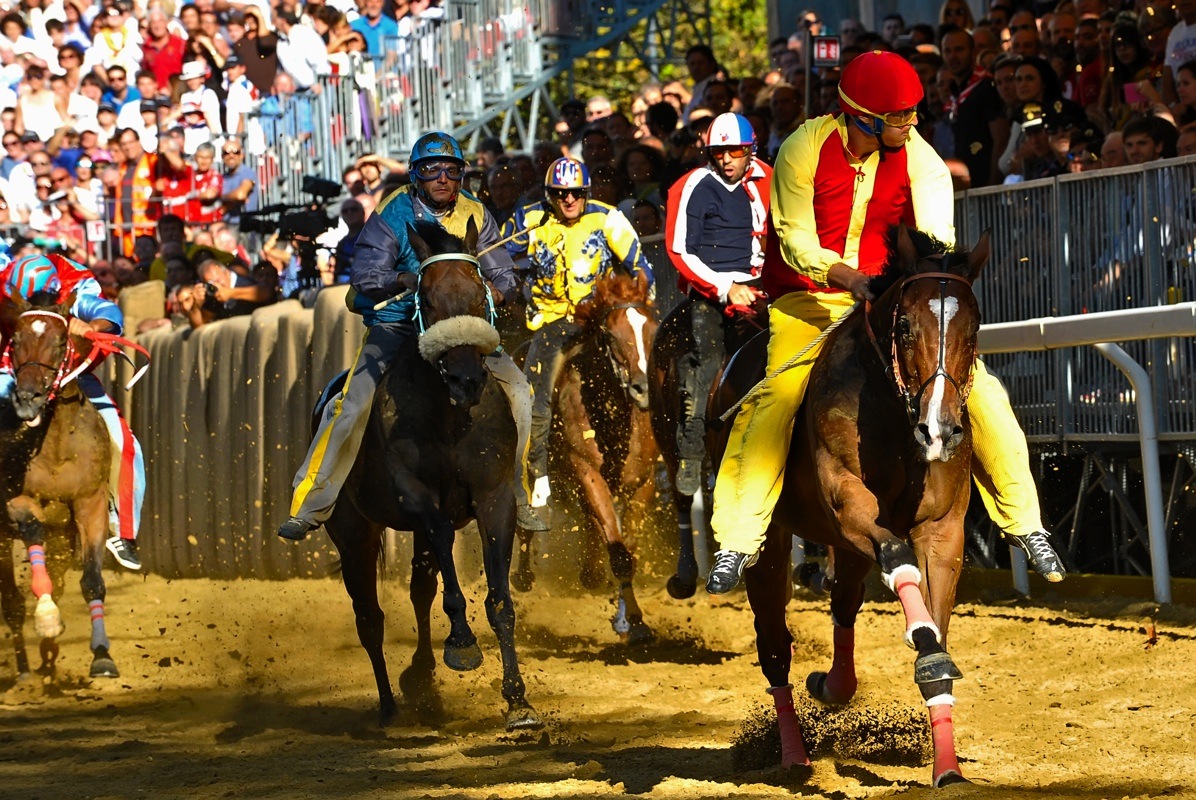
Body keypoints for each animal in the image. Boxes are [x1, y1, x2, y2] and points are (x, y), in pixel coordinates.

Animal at [0, 292, 119, 679]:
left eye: (61, 341)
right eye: (15, 340)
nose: (28, 398)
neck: (55, 445)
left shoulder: (90, 502)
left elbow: (92, 580)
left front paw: (102, 656)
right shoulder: (15, 500)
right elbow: (31, 524)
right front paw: (48, 618)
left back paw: (48, 659)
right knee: (12, 602)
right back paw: (25, 669)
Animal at [318, 218, 542, 731]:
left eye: (480, 297)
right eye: (429, 300)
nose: (467, 380)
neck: (449, 416)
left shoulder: (494, 495)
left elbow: (499, 600)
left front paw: (518, 703)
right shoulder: (417, 498)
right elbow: (443, 548)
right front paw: (461, 645)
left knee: (420, 589)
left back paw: (421, 681)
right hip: (352, 531)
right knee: (369, 616)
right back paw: (388, 705)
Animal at [511, 271, 660, 645]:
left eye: (652, 328)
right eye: (610, 334)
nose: (643, 388)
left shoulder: (644, 482)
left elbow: (626, 549)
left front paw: (633, 622)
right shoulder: (586, 471)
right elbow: (619, 554)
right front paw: (630, 619)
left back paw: (591, 571)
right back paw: (523, 576)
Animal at [717, 226, 990, 784]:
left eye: (974, 326)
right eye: (904, 325)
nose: (940, 429)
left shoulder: (943, 529)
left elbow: (937, 634)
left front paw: (948, 768)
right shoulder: (846, 502)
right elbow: (898, 558)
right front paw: (925, 649)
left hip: (843, 549)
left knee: (843, 603)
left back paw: (833, 685)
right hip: (772, 541)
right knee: (774, 646)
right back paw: (793, 757)